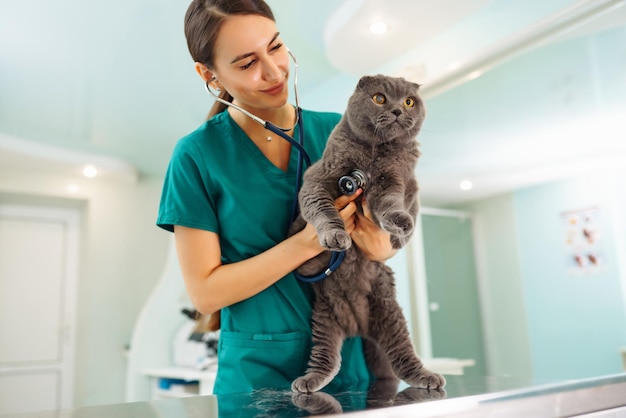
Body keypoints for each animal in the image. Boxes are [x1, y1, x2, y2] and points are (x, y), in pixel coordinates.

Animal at [292, 74, 444, 392]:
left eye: (409, 101)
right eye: (379, 98)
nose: (398, 110)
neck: (374, 155)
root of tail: (357, 327)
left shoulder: (394, 182)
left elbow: (390, 205)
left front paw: (400, 222)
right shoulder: (320, 178)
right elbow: (322, 208)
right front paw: (335, 235)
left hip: (390, 314)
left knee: (402, 356)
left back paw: (428, 377)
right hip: (324, 318)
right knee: (326, 359)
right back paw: (308, 381)